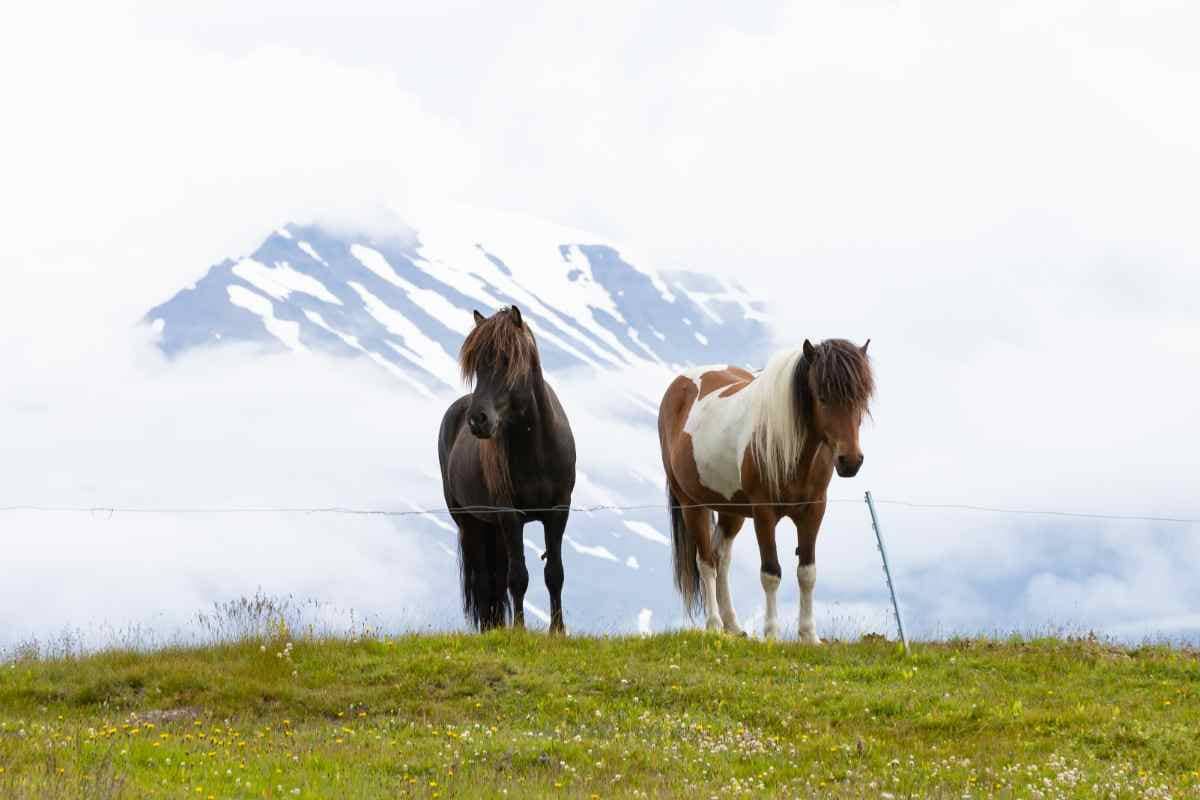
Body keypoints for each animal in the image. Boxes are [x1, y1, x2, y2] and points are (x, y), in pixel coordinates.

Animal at [438, 306, 577, 633]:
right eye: (476, 365)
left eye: (506, 359)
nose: (478, 420)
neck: (537, 449)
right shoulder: (510, 515)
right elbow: (518, 578)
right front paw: (520, 630)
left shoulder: (558, 512)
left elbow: (555, 573)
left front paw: (557, 630)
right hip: (471, 523)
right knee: (486, 581)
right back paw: (492, 630)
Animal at [657, 338, 874, 642]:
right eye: (821, 397)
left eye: (861, 397)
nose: (850, 461)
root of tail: (678, 385)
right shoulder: (763, 513)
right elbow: (771, 573)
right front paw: (771, 633)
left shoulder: (814, 510)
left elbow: (807, 573)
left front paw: (809, 635)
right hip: (692, 505)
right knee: (706, 563)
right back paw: (714, 625)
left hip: (731, 510)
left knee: (721, 559)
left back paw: (733, 625)